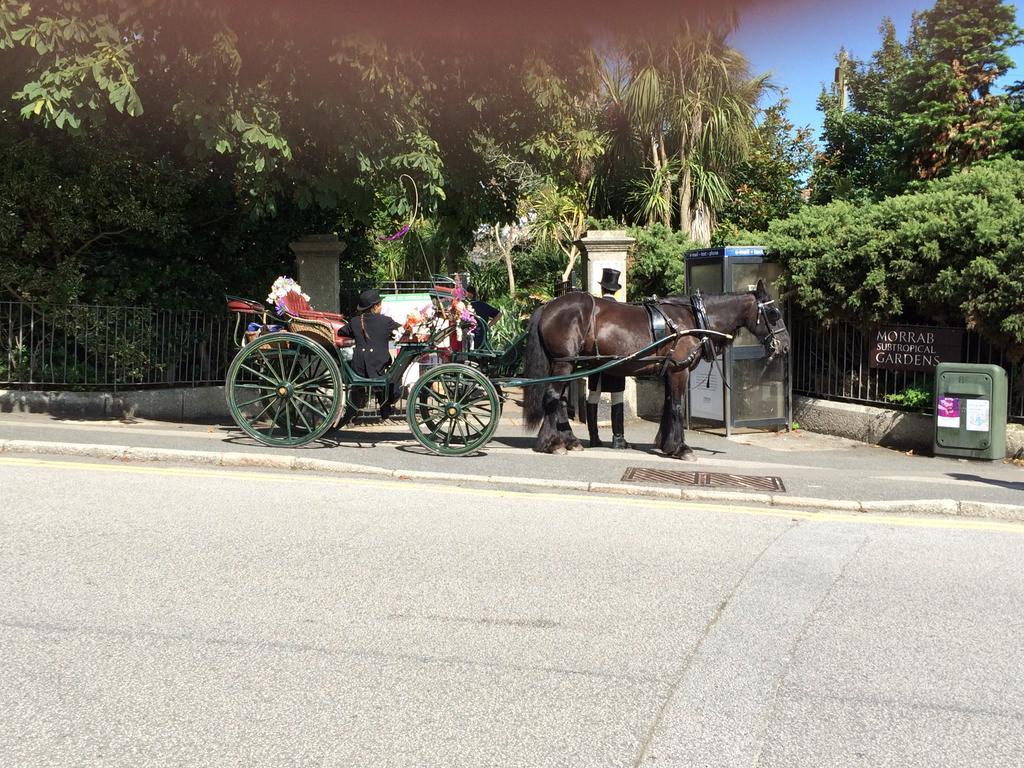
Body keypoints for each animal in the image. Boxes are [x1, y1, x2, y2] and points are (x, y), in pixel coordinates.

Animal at [524, 282, 786, 462]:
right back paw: (552, 444)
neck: (693, 319)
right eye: (774, 314)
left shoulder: (671, 371)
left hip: (568, 365)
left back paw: (568, 440)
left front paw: (667, 444)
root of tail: (548, 306)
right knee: (552, 397)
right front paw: (682, 448)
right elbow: (677, 407)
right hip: (565, 364)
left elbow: (668, 405)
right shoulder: (679, 371)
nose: (784, 346)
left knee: (558, 400)